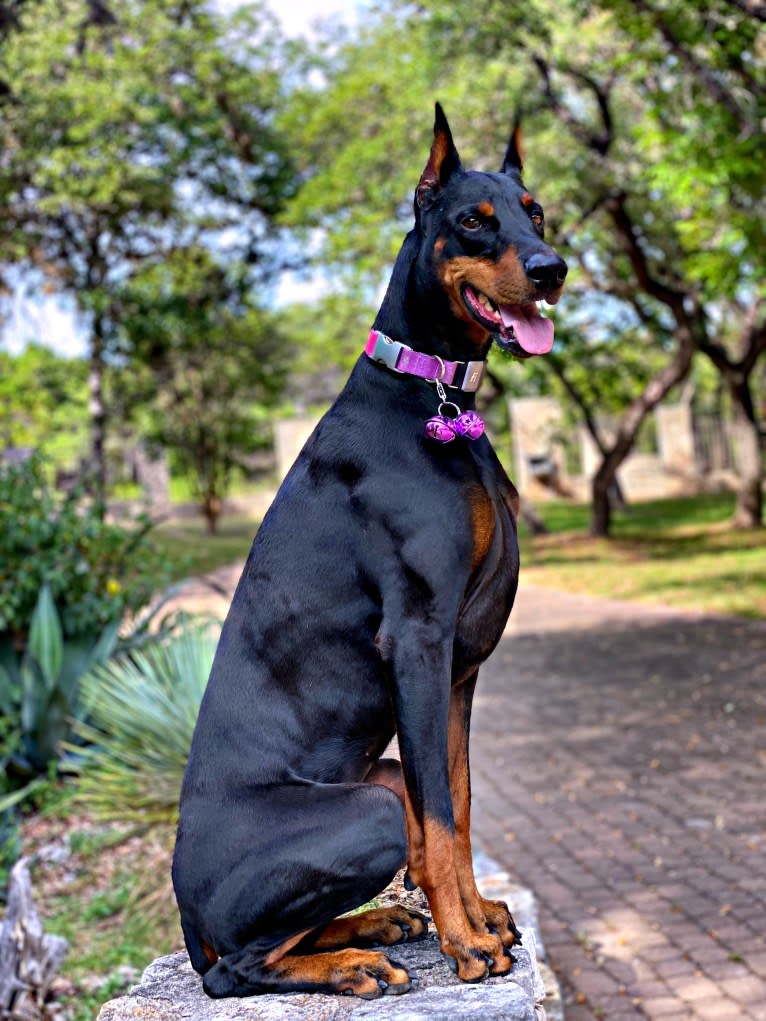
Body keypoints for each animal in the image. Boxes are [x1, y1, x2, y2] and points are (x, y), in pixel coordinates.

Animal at [175, 103, 571, 996]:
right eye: (474, 220)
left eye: (535, 211)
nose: (552, 269)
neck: (433, 394)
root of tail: (183, 914)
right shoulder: (417, 640)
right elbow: (440, 817)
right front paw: (467, 944)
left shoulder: (457, 669)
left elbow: (457, 804)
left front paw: (480, 916)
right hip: (365, 807)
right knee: (237, 970)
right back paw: (355, 960)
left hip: (377, 776)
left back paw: (377, 922)